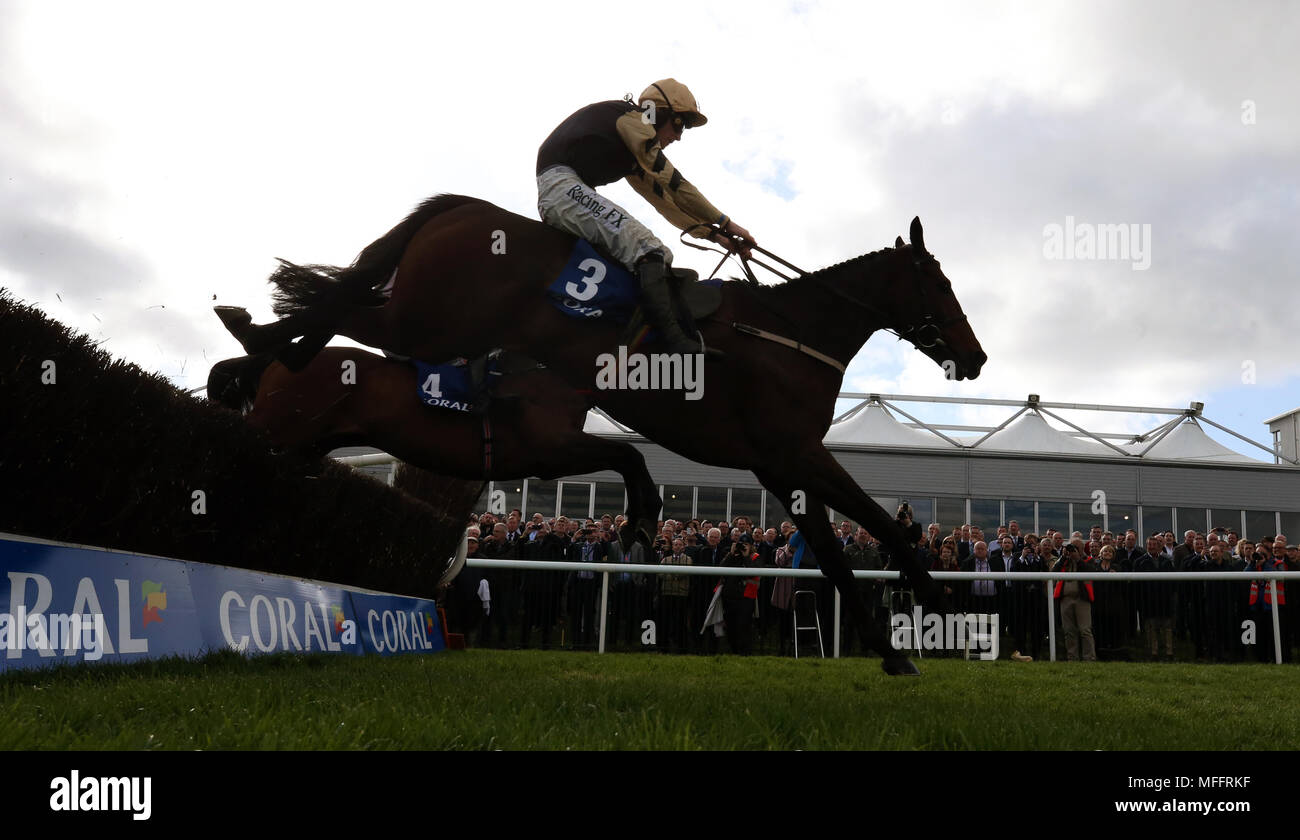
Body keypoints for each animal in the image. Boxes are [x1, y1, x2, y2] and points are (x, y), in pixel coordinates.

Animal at [210, 343, 670, 546]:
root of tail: (273, 358)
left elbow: (629, 456)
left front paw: (636, 522)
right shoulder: (551, 449)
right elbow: (629, 454)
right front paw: (641, 521)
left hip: (305, 443)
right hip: (275, 425)